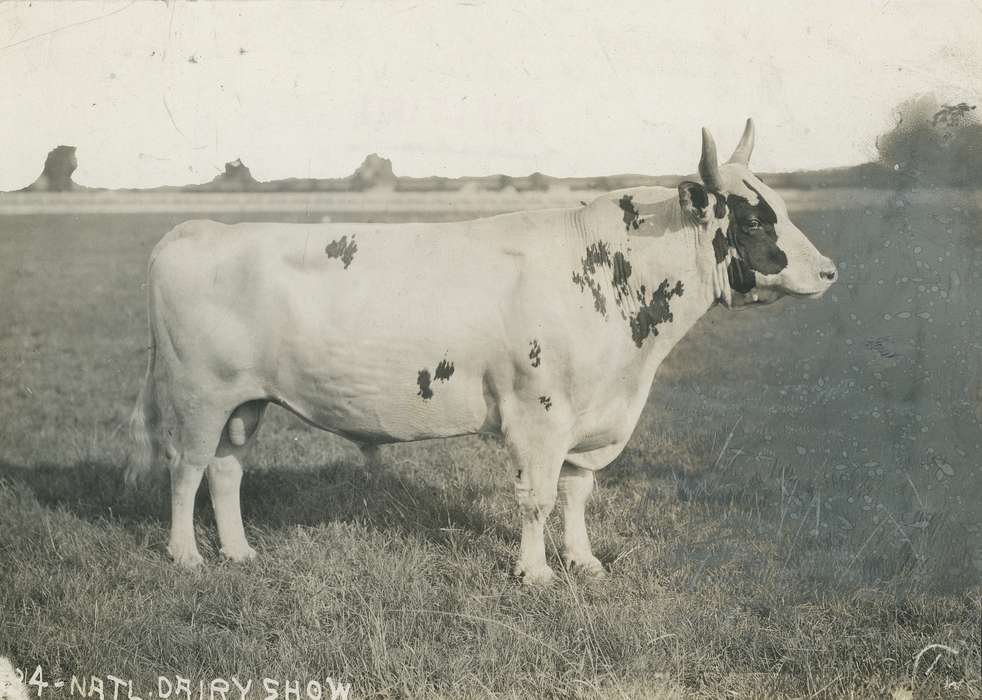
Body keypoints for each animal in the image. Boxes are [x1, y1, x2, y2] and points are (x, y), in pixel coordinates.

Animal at [128, 120, 837, 583]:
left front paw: (583, 560)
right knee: (186, 469)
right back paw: (186, 556)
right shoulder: (538, 413)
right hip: (198, 394)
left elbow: (578, 491)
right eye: (754, 219)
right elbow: (537, 497)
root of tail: (196, 229)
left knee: (226, 470)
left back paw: (239, 553)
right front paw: (536, 574)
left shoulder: (591, 416)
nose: (830, 271)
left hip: (244, 400)